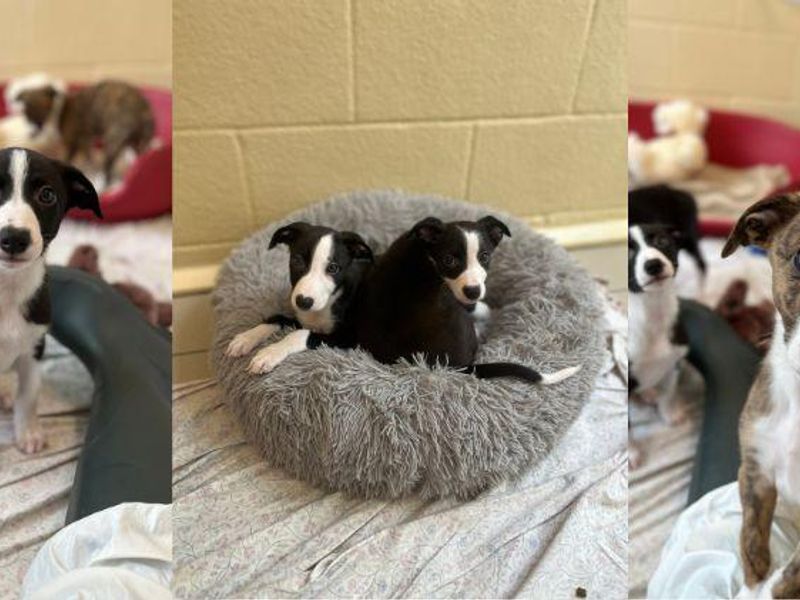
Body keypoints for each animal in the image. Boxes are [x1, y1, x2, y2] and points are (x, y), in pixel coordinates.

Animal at [225, 221, 376, 370]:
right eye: (297, 261)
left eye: (333, 268)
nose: (303, 302)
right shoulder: (302, 319)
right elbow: (278, 318)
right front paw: (247, 337)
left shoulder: (348, 338)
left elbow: (299, 334)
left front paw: (270, 353)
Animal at [354, 217, 580, 384]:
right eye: (448, 260)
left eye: (485, 256)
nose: (473, 291)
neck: (426, 252)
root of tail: (459, 367)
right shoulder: (462, 299)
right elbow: (483, 308)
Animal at [624, 223, 688, 424]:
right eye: (629, 251)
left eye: (662, 241)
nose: (653, 265)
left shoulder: (674, 362)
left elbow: (668, 394)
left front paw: (669, 414)